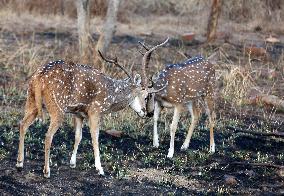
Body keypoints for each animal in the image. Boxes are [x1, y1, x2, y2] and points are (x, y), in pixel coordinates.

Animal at [16, 38, 169, 178]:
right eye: (147, 96)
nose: (148, 113)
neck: (111, 97)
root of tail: (38, 78)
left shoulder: (79, 113)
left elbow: (78, 136)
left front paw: (72, 163)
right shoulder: (95, 111)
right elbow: (95, 137)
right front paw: (99, 169)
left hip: (31, 101)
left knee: (23, 124)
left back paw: (19, 163)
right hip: (57, 108)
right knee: (48, 135)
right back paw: (46, 171)